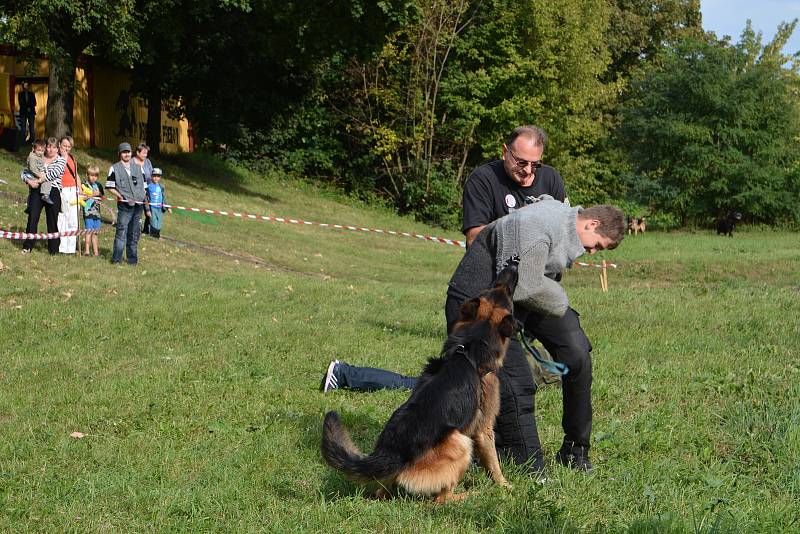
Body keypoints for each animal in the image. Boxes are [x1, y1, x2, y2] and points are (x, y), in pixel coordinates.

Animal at [322, 262, 520, 504]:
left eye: (493, 287)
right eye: (508, 296)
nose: (513, 264)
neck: (471, 346)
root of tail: (392, 453)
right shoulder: (484, 428)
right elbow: (493, 462)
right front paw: (505, 485)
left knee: (382, 494)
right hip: (460, 442)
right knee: (440, 499)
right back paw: (466, 495)